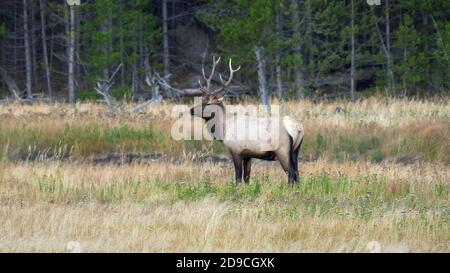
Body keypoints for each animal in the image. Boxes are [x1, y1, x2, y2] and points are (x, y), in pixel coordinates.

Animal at [188, 55, 304, 183]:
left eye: (207, 103)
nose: (191, 110)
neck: (223, 130)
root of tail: (298, 128)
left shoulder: (236, 151)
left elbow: (238, 178)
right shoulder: (248, 155)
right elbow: (247, 178)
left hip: (282, 150)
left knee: (291, 174)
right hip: (296, 150)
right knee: (297, 174)